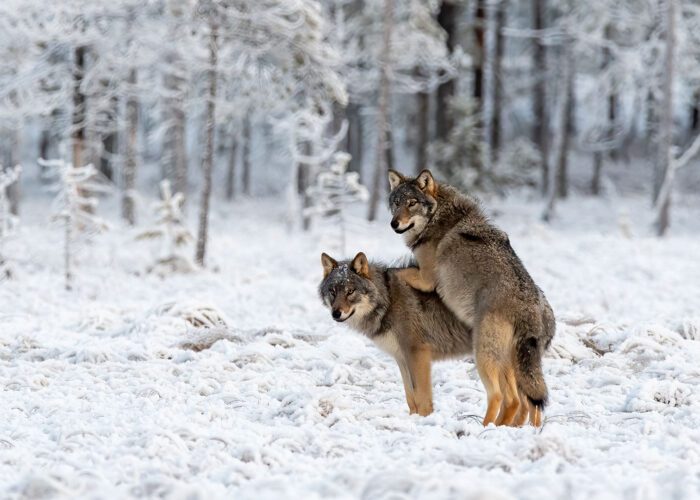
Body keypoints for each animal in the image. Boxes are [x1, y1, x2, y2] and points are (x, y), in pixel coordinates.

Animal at [319, 251, 536, 426]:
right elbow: (410, 398)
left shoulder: (418, 354)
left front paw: (424, 420)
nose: (336, 313)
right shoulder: (401, 358)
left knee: (505, 398)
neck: (387, 300)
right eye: (333, 291)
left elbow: (422, 397)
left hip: (486, 361)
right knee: (525, 403)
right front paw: (413, 420)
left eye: (350, 291)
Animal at [387, 169, 555, 426]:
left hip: (483, 358)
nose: (394, 223)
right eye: (396, 203)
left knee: (503, 398)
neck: (438, 216)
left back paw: (486, 427)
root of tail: (532, 313)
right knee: (529, 404)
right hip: (516, 366)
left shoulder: (427, 279)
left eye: (412, 203)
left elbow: (396, 270)